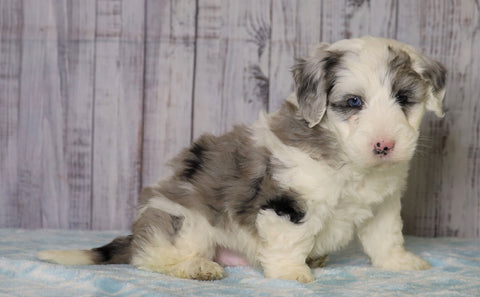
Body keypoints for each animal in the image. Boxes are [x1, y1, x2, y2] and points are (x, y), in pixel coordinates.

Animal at [37, 37, 446, 282]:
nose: (384, 145)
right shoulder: (287, 201)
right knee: (151, 256)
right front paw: (292, 274)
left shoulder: (383, 204)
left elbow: (386, 237)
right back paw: (198, 267)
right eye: (354, 102)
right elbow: (291, 239)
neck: (348, 160)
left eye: (404, 99)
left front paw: (399, 263)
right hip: (185, 221)